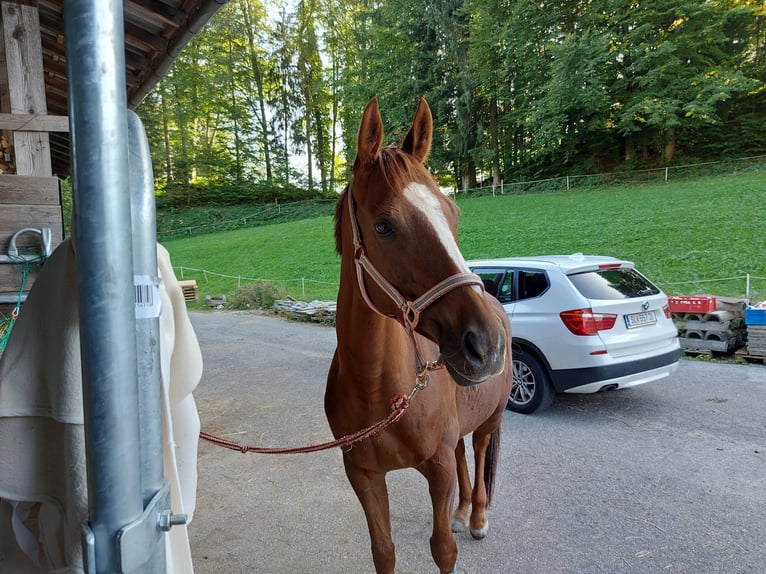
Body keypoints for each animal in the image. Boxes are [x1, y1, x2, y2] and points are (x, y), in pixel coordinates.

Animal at [328, 97, 512, 572]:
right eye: (384, 226)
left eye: (453, 214)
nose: (486, 345)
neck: (380, 390)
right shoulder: (363, 475)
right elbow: (383, 550)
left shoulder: (438, 467)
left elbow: (443, 548)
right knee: (466, 453)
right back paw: (462, 510)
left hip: (491, 418)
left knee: (479, 450)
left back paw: (477, 516)